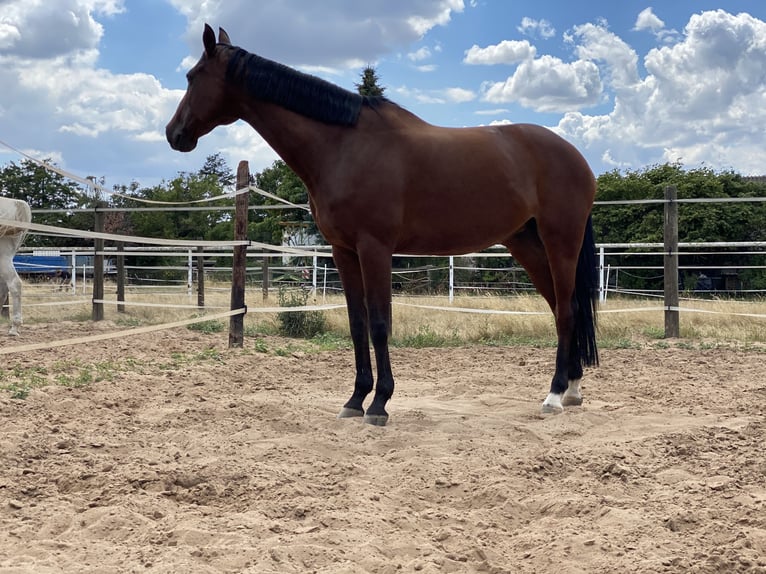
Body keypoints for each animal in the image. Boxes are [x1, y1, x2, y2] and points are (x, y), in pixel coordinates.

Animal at [168, 24, 600, 426]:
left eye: (192, 76)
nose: (174, 133)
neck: (343, 147)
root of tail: (576, 157)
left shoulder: (374, 248)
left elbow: (378, 324)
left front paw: (379, 404)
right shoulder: (343, 251)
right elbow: (357, 324)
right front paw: (355, 400)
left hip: (560, 241)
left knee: (565, 310)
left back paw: (555, 395)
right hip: (526, 244)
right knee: (564, 307)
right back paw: (573, 388)